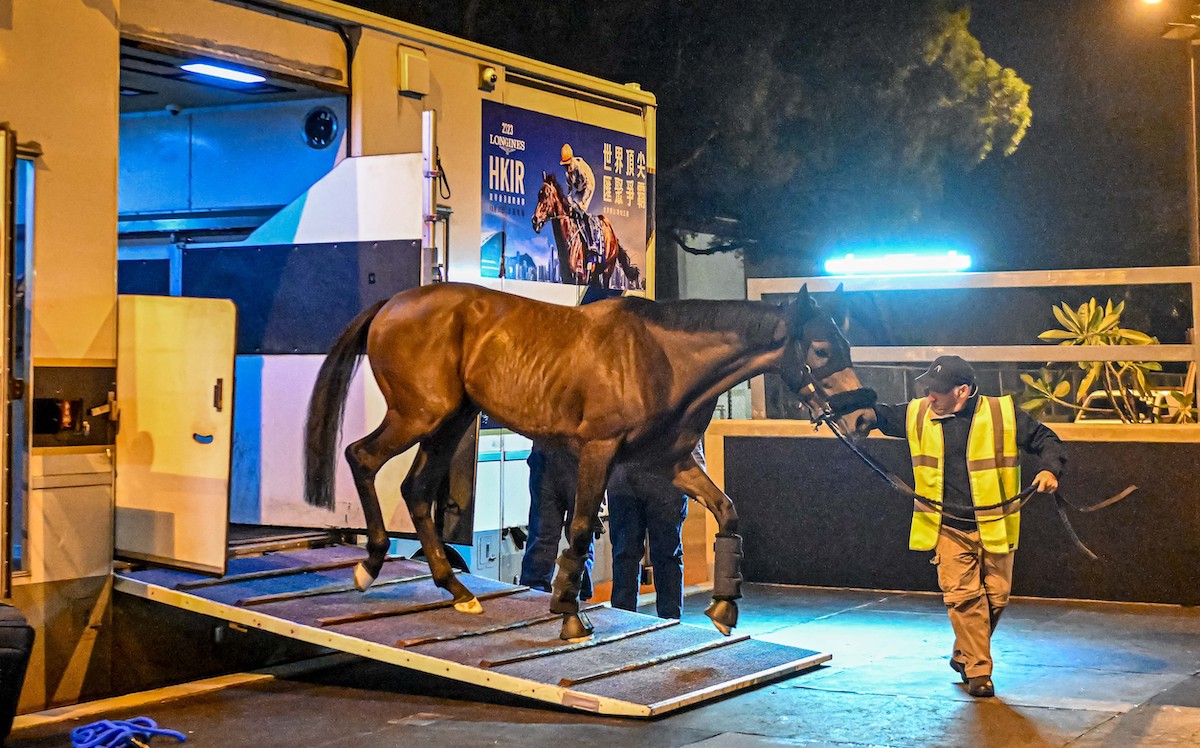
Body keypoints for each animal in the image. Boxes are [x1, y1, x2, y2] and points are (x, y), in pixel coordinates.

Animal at [304, 283, 878, 638]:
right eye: (822, 351)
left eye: (848, 346)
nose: (864, 419)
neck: (663, 357)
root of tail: (394, 303)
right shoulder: (599, 452)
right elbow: (579, 529)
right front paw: (569, 612)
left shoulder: (669, 466)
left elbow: (727, 509)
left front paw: (723, 606)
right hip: (420, 415)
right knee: (362, 457)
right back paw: (372, 563)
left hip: (447, 422)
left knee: (416, 490)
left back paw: (455, 588)